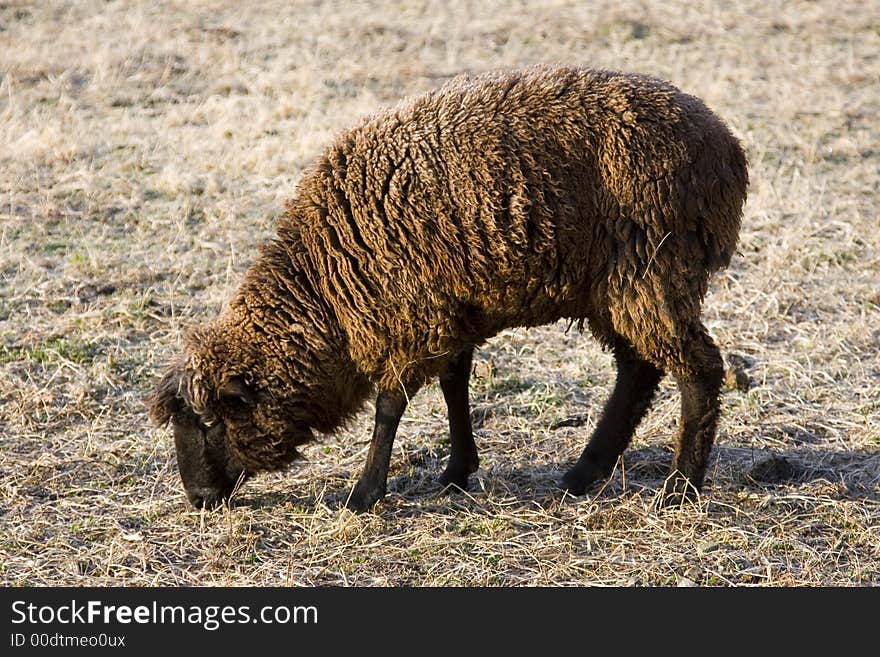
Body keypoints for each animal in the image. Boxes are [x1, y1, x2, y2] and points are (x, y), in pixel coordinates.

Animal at [146, 62, 748, 512]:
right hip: (616, 287)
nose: (198, 498)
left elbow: (390, 405)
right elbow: (455, 385)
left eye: (209, 419)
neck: (327, 290)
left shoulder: (412, 315)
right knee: (639, 372)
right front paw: (458, 470)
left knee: (699, 369)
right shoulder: (452, 309)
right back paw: (584, 473)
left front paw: (364, 495)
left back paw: (679, 488)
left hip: (652, 271)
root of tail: (728, 149)